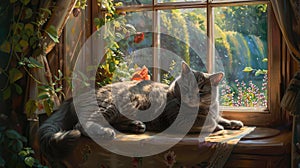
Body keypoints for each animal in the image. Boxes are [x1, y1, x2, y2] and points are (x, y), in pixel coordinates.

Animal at [38, 61, 243, 163]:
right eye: (186, 86)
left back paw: (136, 125)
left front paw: (233, 123)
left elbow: (220, 118)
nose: (190, 96)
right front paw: (217, 127)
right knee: (81, 125)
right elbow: (205, 123)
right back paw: (107, 132)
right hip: (110, 105)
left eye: (201, 91)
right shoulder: (178, 120)